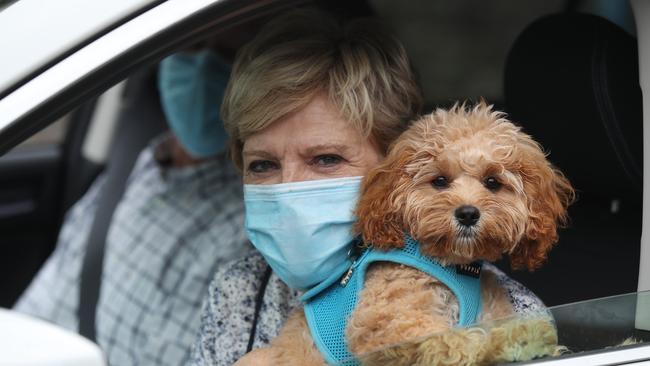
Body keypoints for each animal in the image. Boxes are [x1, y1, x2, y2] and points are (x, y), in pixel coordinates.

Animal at [235, 103, 568, 366]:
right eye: (439, 181)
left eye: (492, 182)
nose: (468, 213)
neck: (454, 265)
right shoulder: (387, 322)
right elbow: (454, 340)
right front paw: (503, 344)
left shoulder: (487, 310)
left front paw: (523, 337)